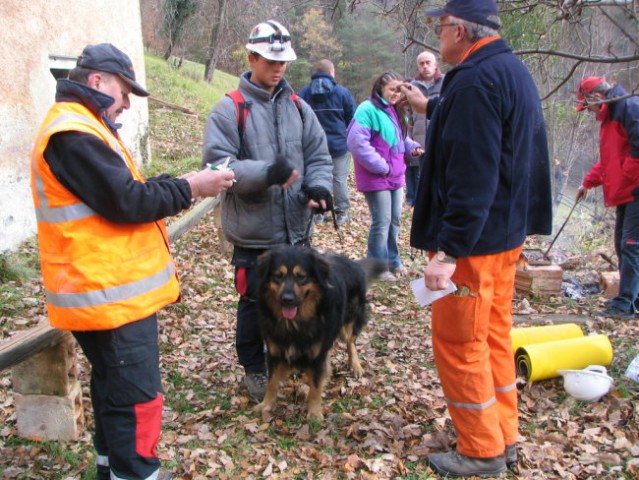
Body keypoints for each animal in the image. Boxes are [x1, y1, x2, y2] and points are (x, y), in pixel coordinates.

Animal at [255, 246, 384, 418]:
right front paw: (266, 405)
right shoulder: (275, 352)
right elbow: (272, 382)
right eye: (278, 276)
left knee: (351, 342)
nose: (287, 299)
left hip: (348, 323)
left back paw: (355, 366)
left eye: (301, 277)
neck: (295, 322)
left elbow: (316, 386)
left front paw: (314, 413)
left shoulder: (318, 354)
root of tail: (353, 263)